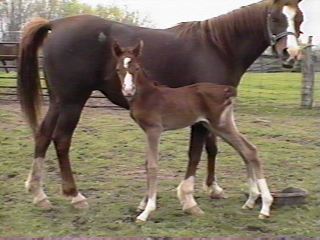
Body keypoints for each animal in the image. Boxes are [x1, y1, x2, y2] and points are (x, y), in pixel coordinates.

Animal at [112, 40, 272, 221]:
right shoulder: (147, 131)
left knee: (249, 150)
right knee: (246, 150)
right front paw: (143, 204)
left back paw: (265, 207)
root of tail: (226, 90)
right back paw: (251, 201)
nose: (128, 91)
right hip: (217, 125)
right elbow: (147, 163)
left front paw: (146, 212)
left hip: (220, 125)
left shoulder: (154, 130)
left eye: (137, 68)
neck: (148, 95)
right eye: (118, 69)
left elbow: (153, 166)